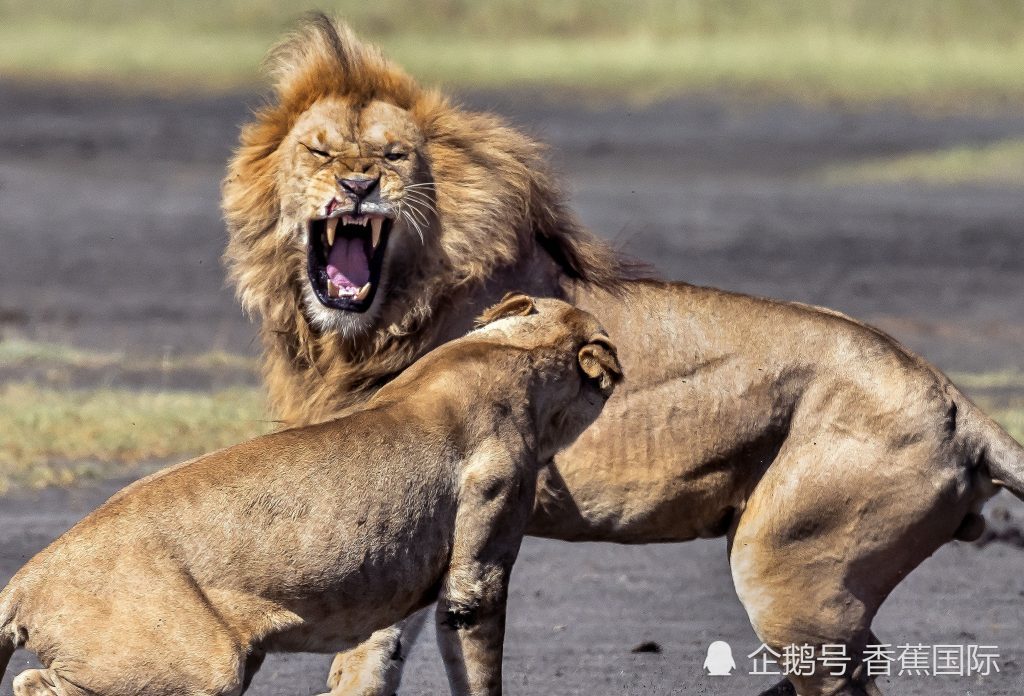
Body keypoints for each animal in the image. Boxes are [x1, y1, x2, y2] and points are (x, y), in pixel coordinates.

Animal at [0, 292, 622, 696]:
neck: (511, 352)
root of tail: (25, 579)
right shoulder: (477, 571)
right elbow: (477, 663)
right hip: (208, 667)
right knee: (34, 683)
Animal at [222, 14, 1024, 696]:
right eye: (320, 151)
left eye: (393, 156)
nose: (358, 184)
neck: (368, 323)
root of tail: (959, 404)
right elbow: (377, 655)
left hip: (789, 570)